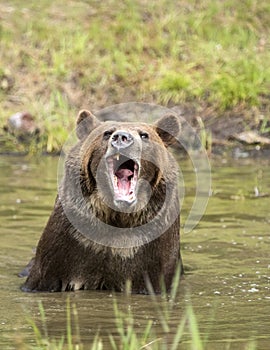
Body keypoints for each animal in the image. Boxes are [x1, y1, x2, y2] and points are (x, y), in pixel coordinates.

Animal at [21, 109, 184, 292]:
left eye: (144, 135)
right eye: (107, 133)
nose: (122, 137)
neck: (117, 216)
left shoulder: (152, 252)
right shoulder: (66, 246)